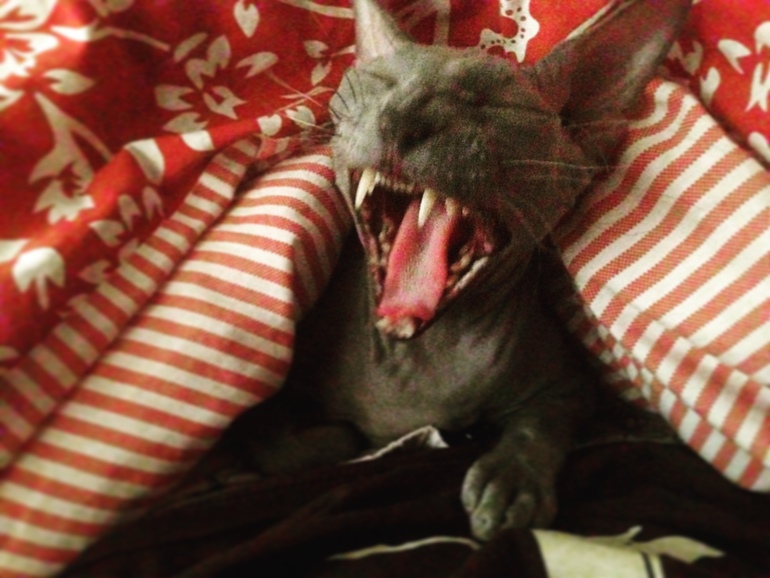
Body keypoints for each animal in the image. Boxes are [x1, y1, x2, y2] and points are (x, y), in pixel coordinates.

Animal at [213, 0, 691, 541]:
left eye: (496, 107)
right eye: (379, 82)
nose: (403, 116)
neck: (417, 353)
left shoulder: (566, 387)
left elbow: (541, 425)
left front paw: (511, 479)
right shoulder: (281, 378)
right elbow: (280, 438)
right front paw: (334, 444)